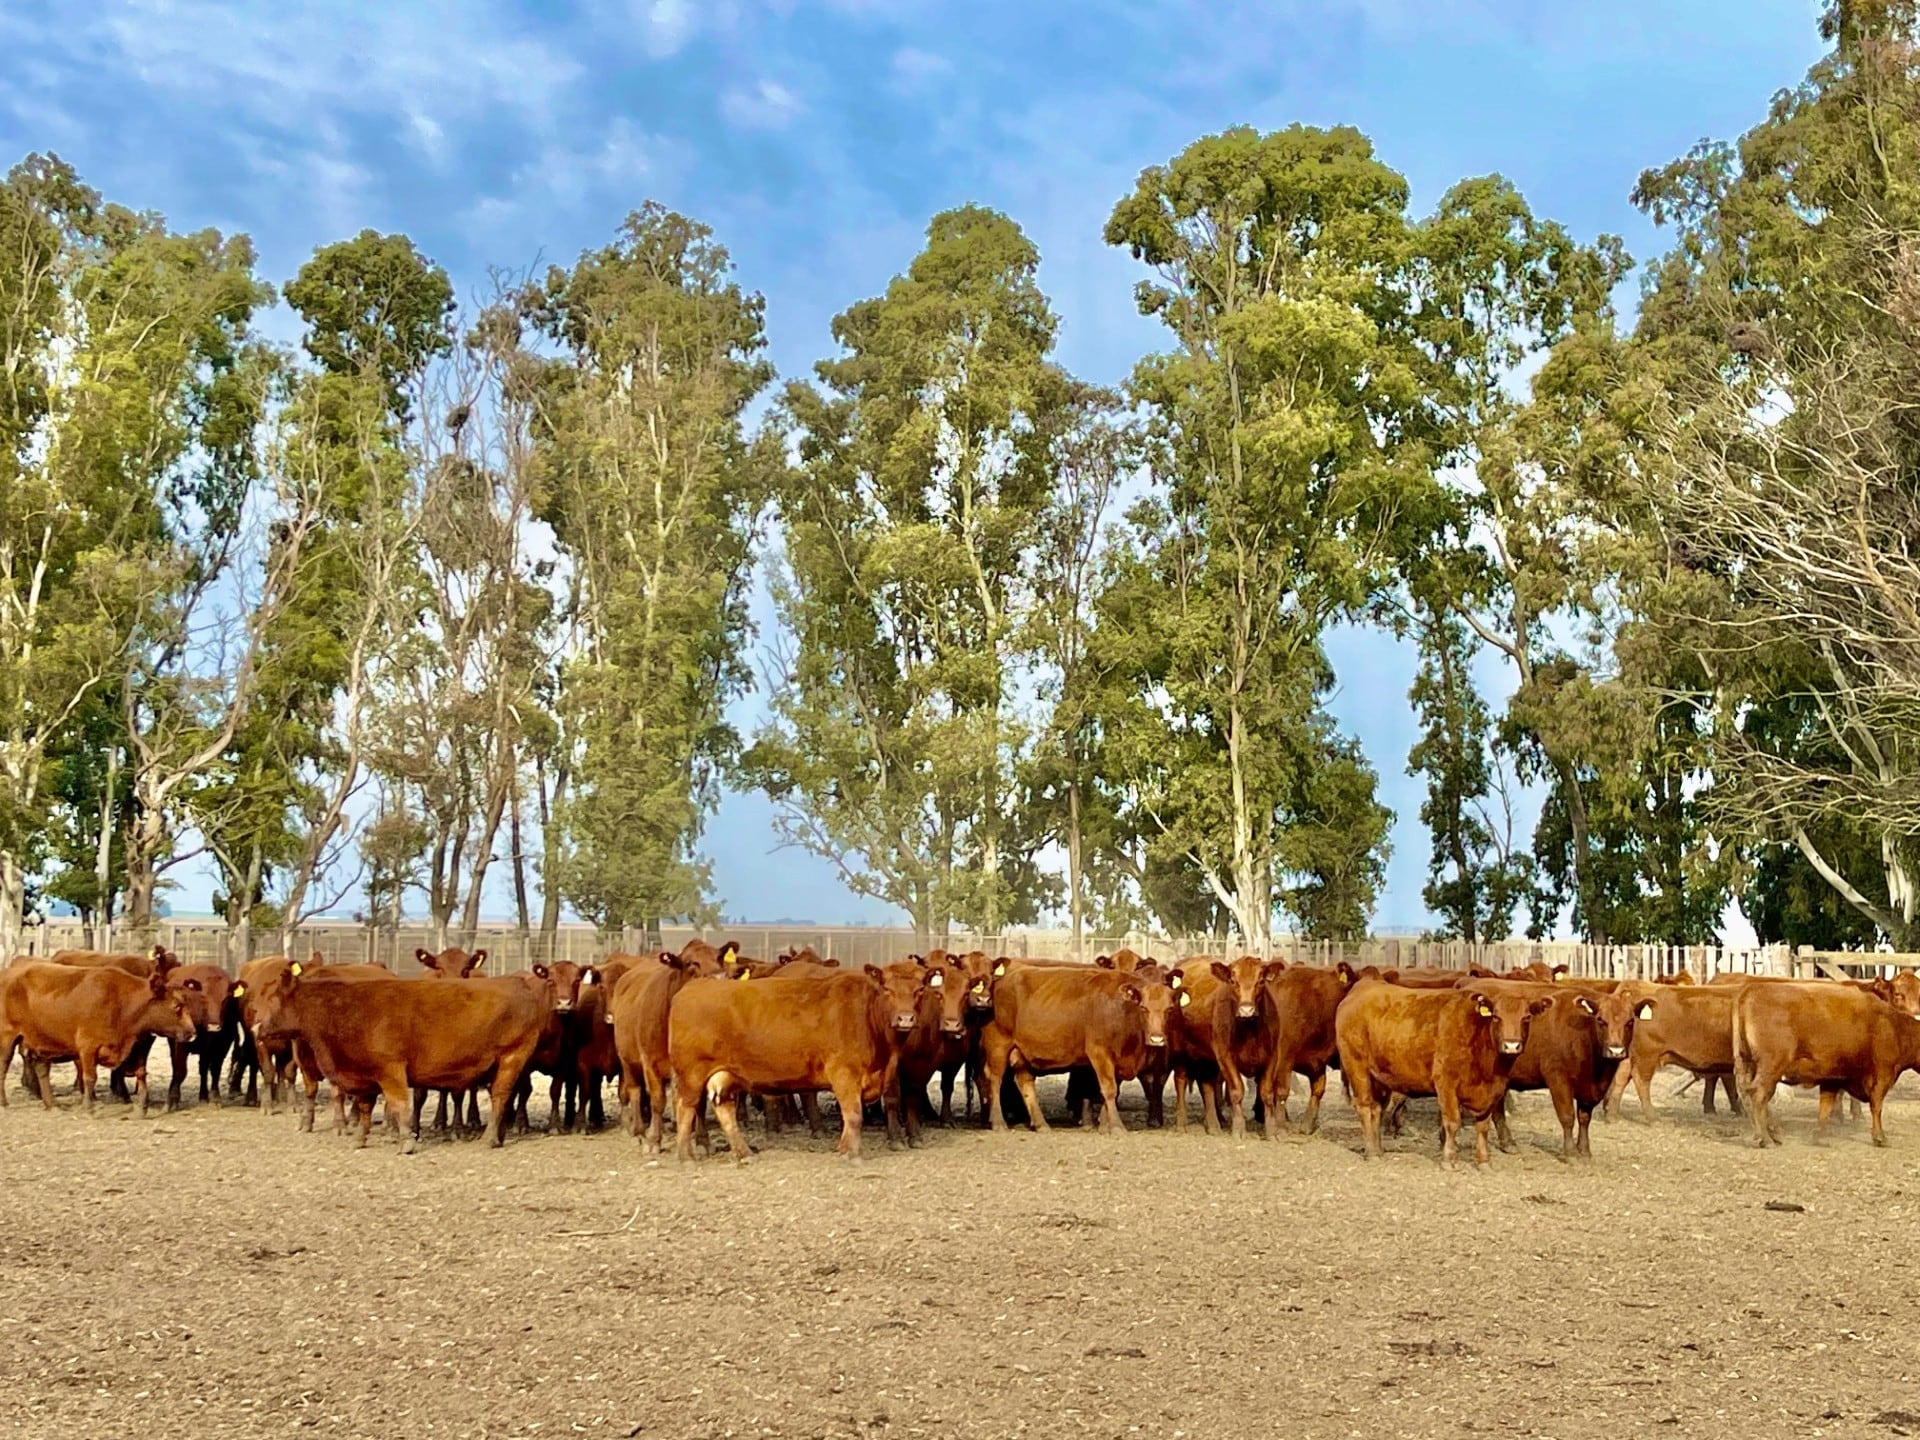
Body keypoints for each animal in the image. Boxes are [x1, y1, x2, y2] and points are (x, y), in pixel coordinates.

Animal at [0, 971, 198, 1113]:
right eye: (177, 1007)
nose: (192, 1032)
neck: (122, 1004)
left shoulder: (136, 1046)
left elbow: (141, 1074)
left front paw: (142, 1107)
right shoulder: (88, 1047)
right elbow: (90, 1077)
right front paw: (89, 1107)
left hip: (42, 1041)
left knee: (42, 1069)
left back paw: (52, 1104)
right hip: (7, 1037)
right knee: (4, 1065)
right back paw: (4, 1102)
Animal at [983, 971, 1175, 1136]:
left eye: (1169, 1009)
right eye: (1143, 1008)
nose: (1157, 1039)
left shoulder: (1119, 1062)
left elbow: (1112, 1091)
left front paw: (1104, 1125)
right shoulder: (1099, 1052)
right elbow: (1109, 1089)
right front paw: (1116, 1126)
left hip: (1022, 1053)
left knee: (1026, 1083)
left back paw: (1041, 1124)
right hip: (999, 1045)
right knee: (995, 1079)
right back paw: (999, 1123)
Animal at [1344, 983, 1551, 1175]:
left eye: (1526, 1017)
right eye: (1496, 1017)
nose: (1511, 1046)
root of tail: (1365, 986)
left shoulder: (1491, 1093)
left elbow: (1483, 1126)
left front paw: (1484, 1162)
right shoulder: (1446, 1083)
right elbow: (1452, 1123)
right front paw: (1449, 1161)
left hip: (1380, 1078)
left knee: (1377, 1109)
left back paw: (1377, 1149)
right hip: (1357, 1068)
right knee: (1365, 1107)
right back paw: (1372, 1153)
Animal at [1735, 983, 1920, 1152]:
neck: (1895, 1027)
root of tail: (1752, 990)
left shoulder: (1832, 1079)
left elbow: (1826, 1106)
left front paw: (1819, 1136)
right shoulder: (1882, 1076)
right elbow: (1877, 1106)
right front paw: (1880, 1138)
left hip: (1751, 1065)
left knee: (1750, 1095)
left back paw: (1772, 1135)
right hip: (1771, 1068)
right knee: (1759, 1095)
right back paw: (1764, 1138)